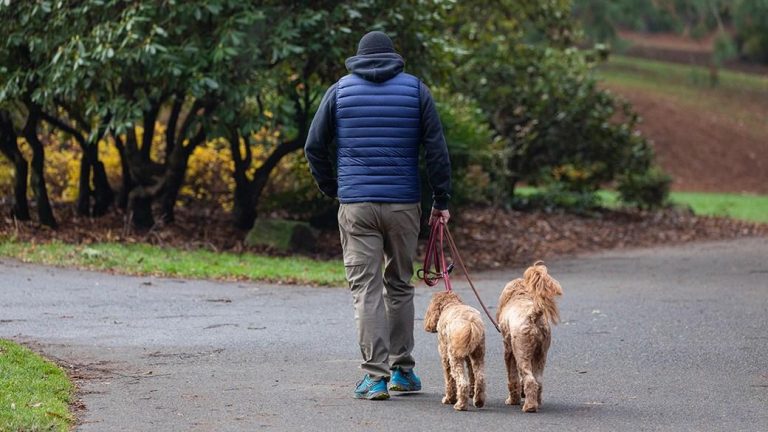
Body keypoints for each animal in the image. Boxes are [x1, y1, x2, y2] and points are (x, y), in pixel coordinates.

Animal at [496, 260, 560, 412]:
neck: (520, 295)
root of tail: (533, 314)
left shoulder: (509, 352)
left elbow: (512, 378)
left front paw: (512, 400)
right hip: (541, 355)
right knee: (538, 382)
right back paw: (537, 402)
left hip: (521, 353)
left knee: (530, 381)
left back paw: (529, 406)